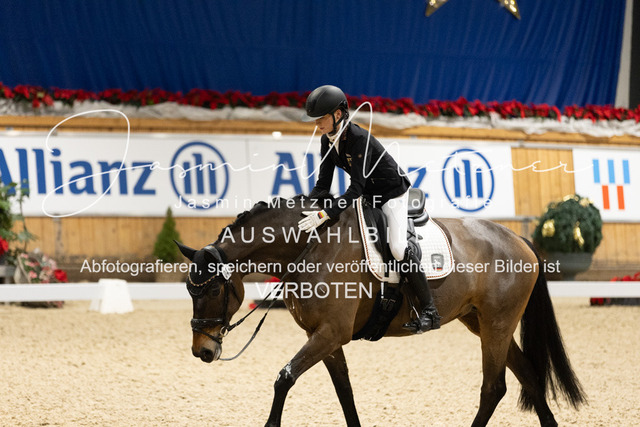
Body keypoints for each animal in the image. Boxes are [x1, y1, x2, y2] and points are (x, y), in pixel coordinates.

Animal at [176, 196, 586, 427]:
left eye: (213, 288)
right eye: (189, 289)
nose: (202, 350)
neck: (311, 245)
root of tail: (519, 239)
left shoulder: (331, 333)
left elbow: (284, 379)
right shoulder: (323, 336)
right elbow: (345, 392)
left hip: (498, 324)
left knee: (494, 388)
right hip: (482, 323)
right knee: (529, 376)